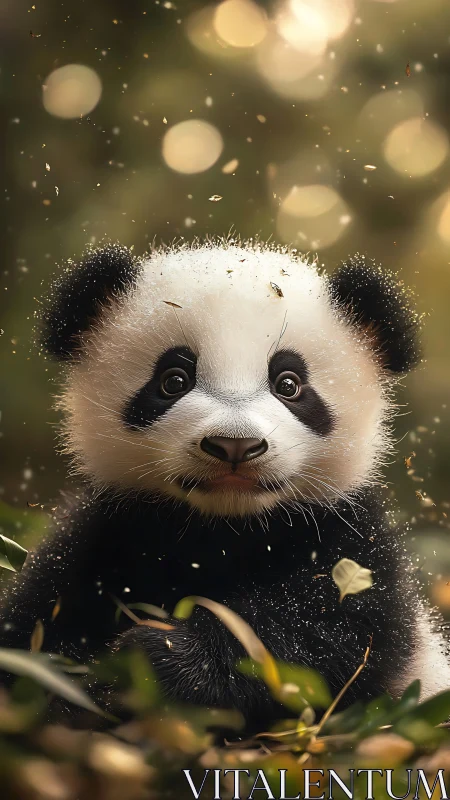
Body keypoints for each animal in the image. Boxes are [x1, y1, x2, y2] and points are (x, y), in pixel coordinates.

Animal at [1, 237, 449, 728]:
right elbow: (35, 622)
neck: (225, 526)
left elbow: (331, 633)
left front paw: (157, 659)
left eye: (288, 384)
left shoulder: (349, 534)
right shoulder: (110, 528)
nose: (235, 445)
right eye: (173, 380)